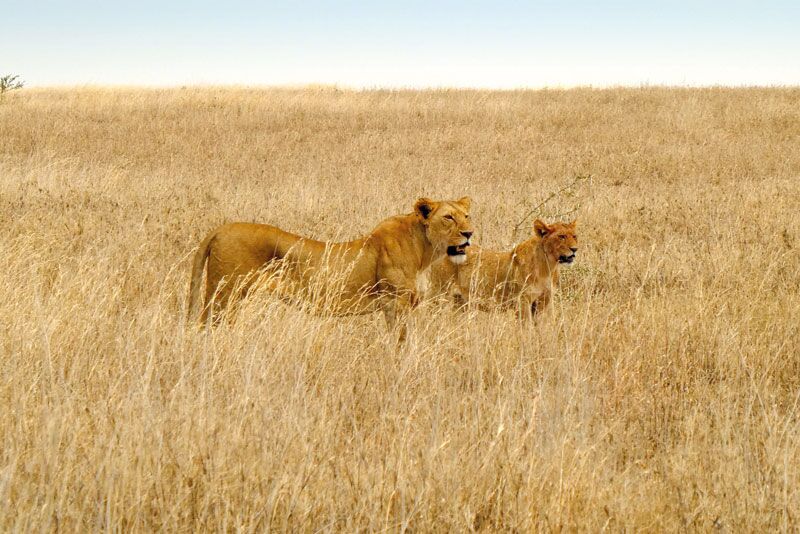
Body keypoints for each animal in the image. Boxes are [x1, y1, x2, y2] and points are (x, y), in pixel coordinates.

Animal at [188, 197, 473, 332]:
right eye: (448, 217)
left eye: (467, 216)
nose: (469, 234)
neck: (425, 250)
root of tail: (220, 229)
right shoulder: (397, 303)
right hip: (224, 294)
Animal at [428, 219, 577, 319]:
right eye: (561, 236)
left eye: (575, 236)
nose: (575, 249)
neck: (547, 267)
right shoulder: (522, 301)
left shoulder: (544, 301)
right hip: (439, 293)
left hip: (460, 302)